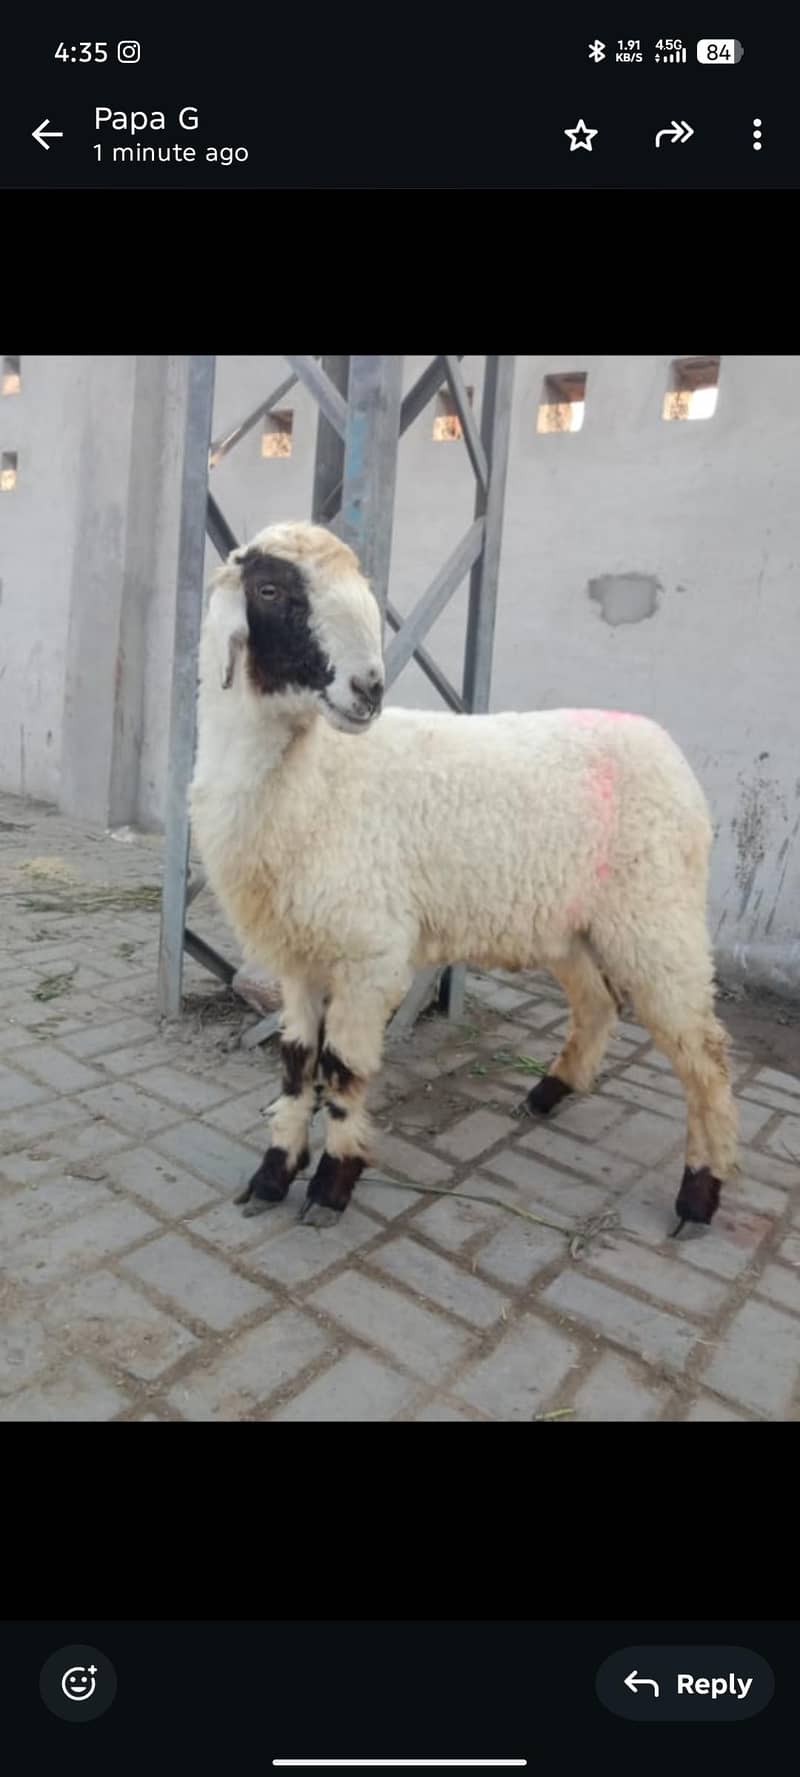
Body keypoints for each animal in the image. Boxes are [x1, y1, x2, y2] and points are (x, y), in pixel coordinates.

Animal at [189, 520, 738, 1235]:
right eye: (271, 590)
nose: (369, 690)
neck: (315, 780)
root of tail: (663, 744)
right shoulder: (300, 953)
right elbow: (295, 1066)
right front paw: (273, 1173)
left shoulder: (369, 951)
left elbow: (341, 1069)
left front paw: (332, 1185)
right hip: (571, 921)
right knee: (597, 1004)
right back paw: (548, 1093)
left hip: (657, 916)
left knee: (704, 1051)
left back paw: (700, 1192)